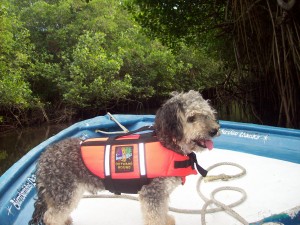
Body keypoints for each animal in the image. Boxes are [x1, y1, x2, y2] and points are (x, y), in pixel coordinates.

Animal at [29, 90, 220, 225]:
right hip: (65, 192)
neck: (167, 145)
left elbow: (163, 212)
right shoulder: (152, 193)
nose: (214, 130)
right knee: (51, 217)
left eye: (207, 114)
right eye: (191, 118)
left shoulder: (161, 194)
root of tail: (43, 157)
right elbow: (155, 217)